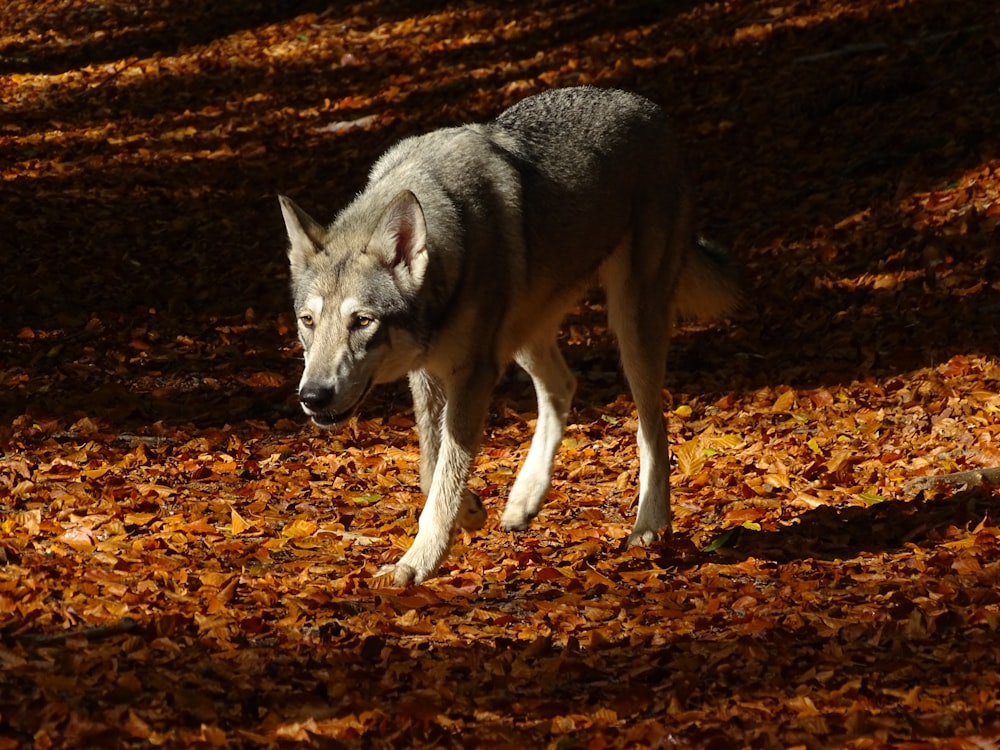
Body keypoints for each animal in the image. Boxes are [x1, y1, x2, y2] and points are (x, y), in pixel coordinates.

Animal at [280, 86, 736, 588]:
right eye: (307, 321)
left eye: (362, 321)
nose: (312, 397)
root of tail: (649, 107)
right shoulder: (429, 375)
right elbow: (431, 467)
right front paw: (469, 512)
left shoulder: (473, 375)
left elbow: (444, 476)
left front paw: (417, 562)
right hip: (524, 336)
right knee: (563, 386)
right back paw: (524, 499)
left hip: (632, 327)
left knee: (651, 428)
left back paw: (650, 525)